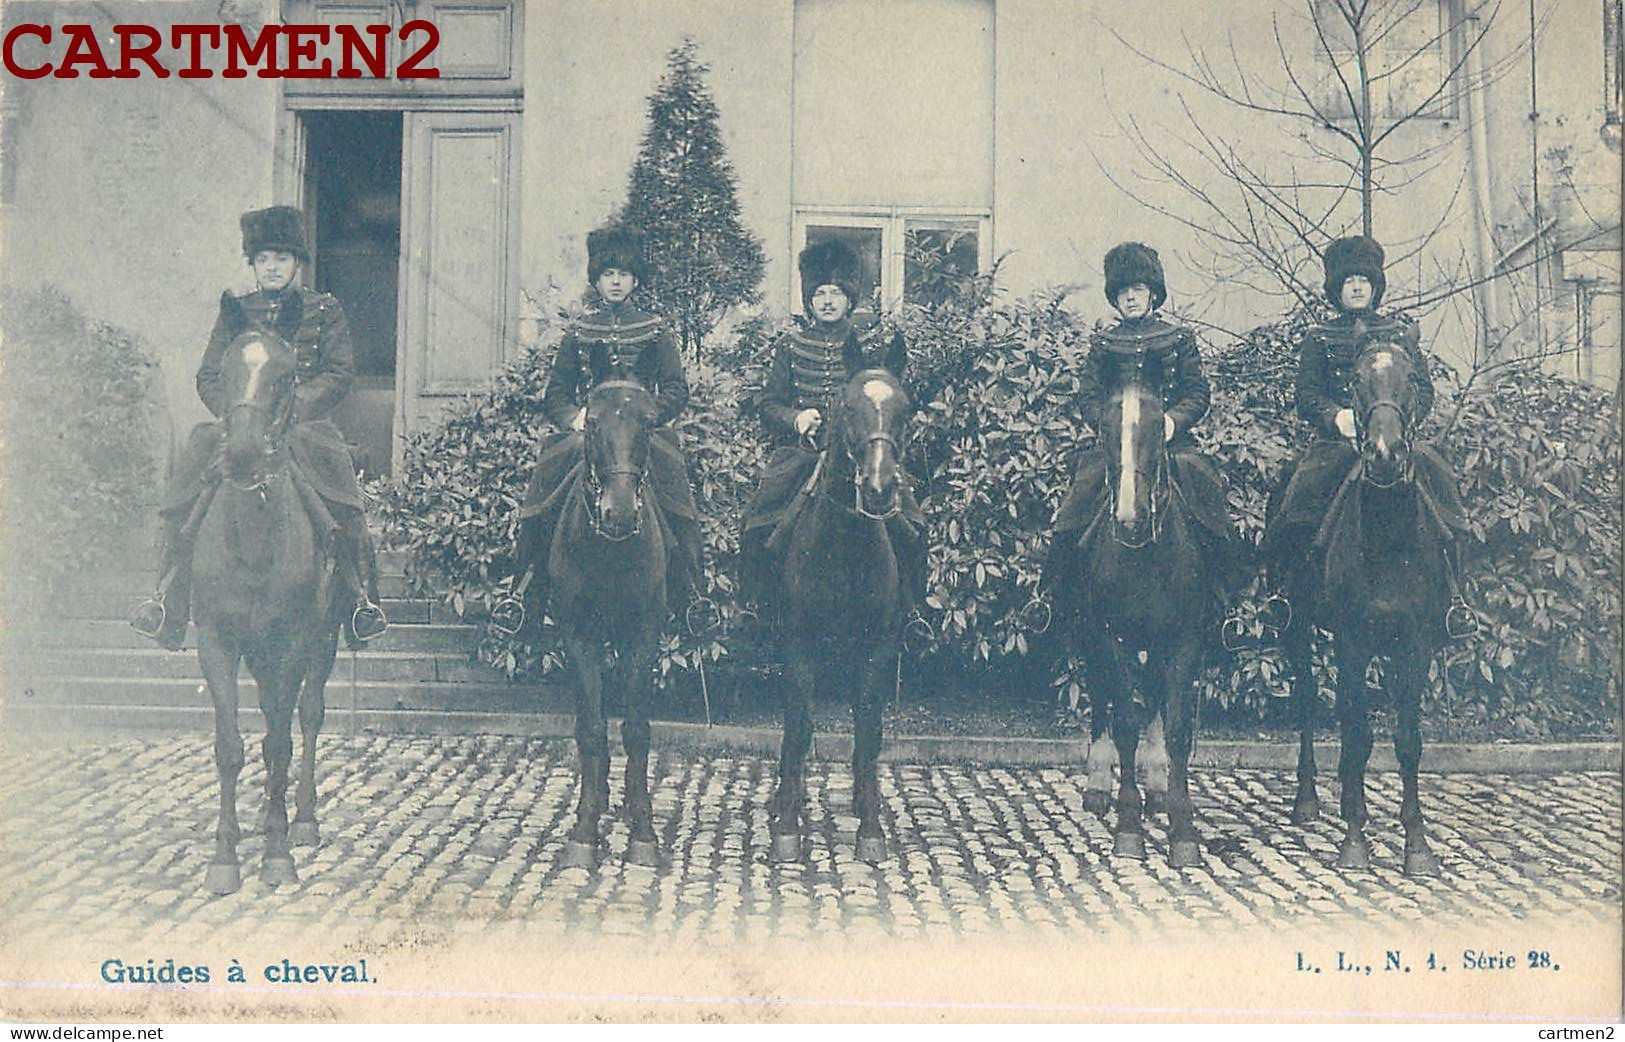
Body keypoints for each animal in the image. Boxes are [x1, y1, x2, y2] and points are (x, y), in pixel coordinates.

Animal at [188, 331, 344, 897]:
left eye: (286, 376)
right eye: (225, 371)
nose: (243, 454)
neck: (253, 541)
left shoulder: (294, 642)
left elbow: (280, 744)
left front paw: (277, 855)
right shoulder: (217, 642)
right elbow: (231, 746)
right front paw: (225, 857)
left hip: (324, 641)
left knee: (308, 715)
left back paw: (301, 819)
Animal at [546, 382, 672, 871]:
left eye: (649, 423)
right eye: (593, 423)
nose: (617, 513)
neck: (611, 553)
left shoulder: (644, 636)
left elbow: (636, 728)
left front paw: (643, 831)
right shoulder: (579, 636)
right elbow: (592, 728)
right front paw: (584, 828)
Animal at [770, 365, 916, 858]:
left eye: (904, 408)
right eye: (849, 407)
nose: (878, 488)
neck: (846, 544)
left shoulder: (876, 645)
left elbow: (868, 728)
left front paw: (871, 829)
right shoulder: (798, 642)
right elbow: (799, 725)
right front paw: (787, 826)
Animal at [1059, 377, 1215, 864]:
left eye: (1153, 434)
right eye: (1108, 437)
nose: (1129, 520)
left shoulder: (1184, 641)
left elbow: (1178, 727)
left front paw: (1182, 830)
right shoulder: (1110, 638)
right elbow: (1125, 722)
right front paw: (1128, 826)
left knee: (1153, 698)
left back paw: (1158, 786)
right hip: (1088, 633)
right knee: (1100, 696)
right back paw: (1098, 785)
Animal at [1280, 338, 1462, 871]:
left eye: (1411, 379)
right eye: (1355, 380)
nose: (1384, 455)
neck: (1388, 532)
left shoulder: (1416, 645)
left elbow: (1406, 742)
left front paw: (1417, 844)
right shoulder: (1353, 642)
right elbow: (1358, 735)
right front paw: (1355, 839)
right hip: (1298, 628)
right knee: (1308, 701)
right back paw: (1310, 801)